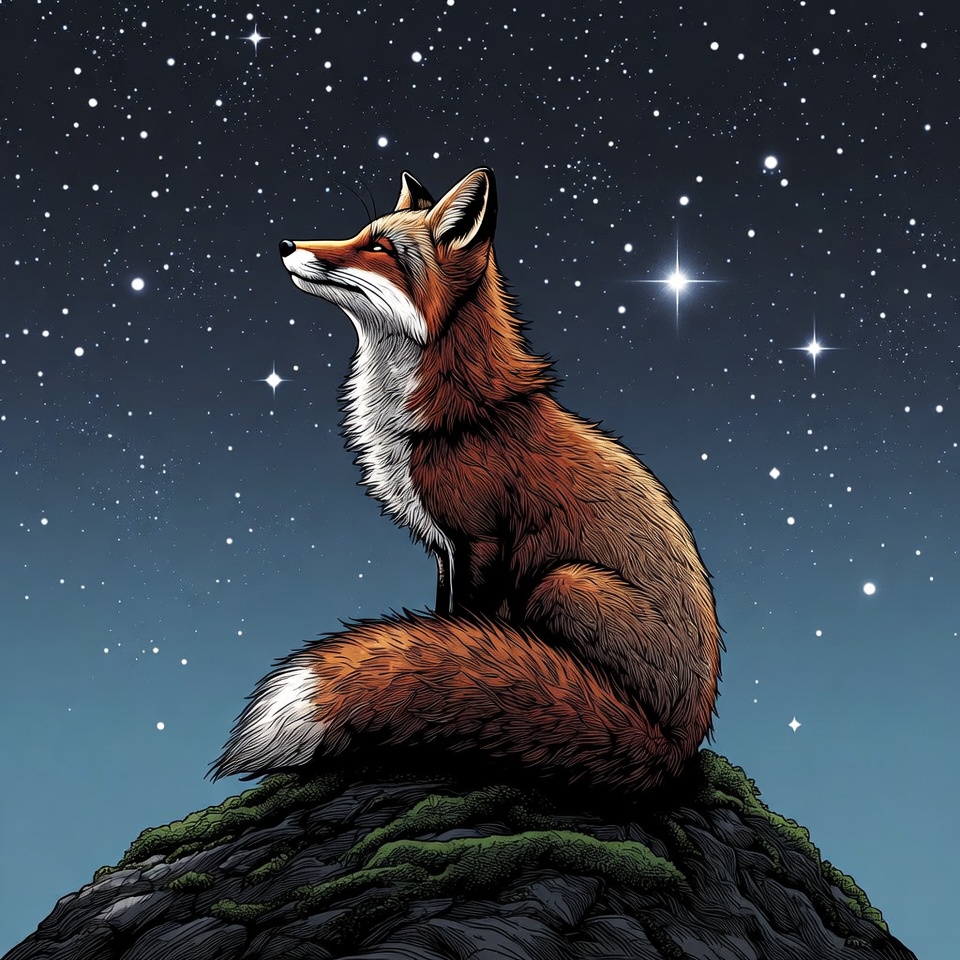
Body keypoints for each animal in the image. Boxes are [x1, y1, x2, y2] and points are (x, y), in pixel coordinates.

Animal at [210, 167, 723, 794]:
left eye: (380, 248)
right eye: (360, 232)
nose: (285, 245)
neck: (441, 412)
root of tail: (676, 747)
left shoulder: (480, 542)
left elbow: (461, 628)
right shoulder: (443, 547)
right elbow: (442, 623)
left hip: (565, 582)